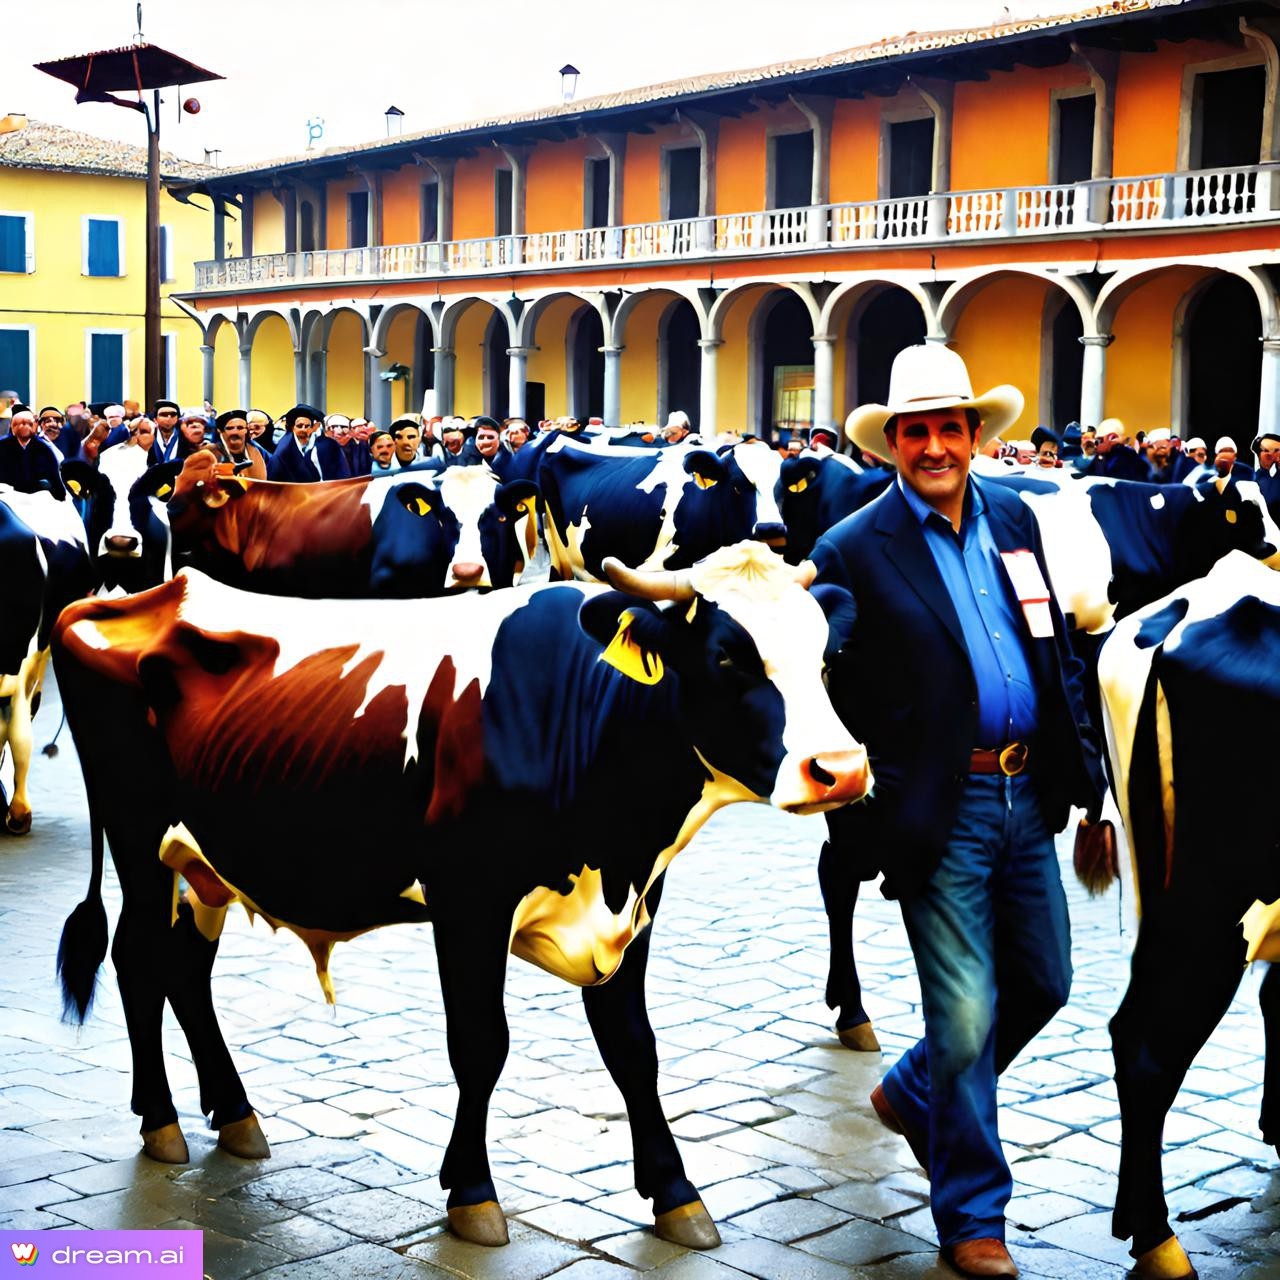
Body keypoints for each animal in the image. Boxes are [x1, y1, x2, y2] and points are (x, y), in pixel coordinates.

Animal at [49, 542, 870, 1249]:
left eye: (828, 657)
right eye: (729, 656)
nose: (843, 769)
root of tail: (140, 593)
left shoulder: (632, 905)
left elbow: (634, 1049)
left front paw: (676, 1194)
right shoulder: (469, 900)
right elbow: (481, 1045)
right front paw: (472, 1193)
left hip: (205, 862)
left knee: (185, 972)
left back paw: (237, 1115)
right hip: (139, 836)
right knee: (138, 959)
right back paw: (162, 1122)